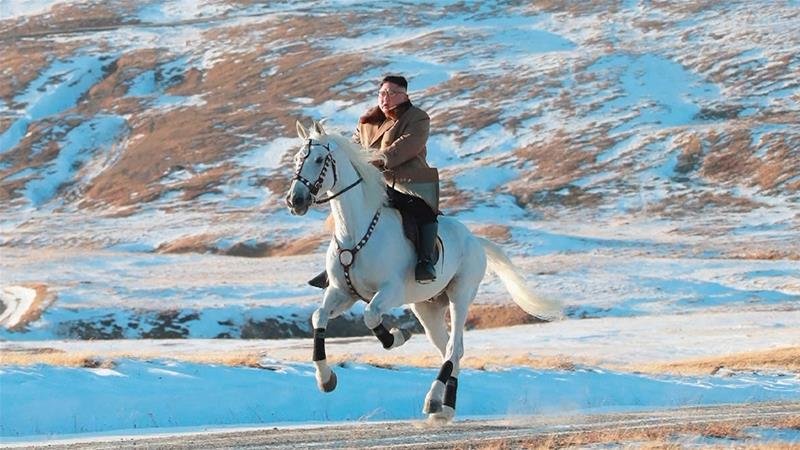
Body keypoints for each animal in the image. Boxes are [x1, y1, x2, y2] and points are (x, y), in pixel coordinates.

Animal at [285, 120, 562, 422]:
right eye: (297, 159)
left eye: (319, 159)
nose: (295, 200)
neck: (355, 231)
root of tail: (475, 240)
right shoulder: (342, 292)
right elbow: (318, 317)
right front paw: (325, 379)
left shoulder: (390, 291)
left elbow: (371, 316)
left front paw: (397, 337)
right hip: (427, 308)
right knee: (451, 350)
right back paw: (445, 407)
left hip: (460, 296)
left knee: (453, 347)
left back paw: (433, 401)